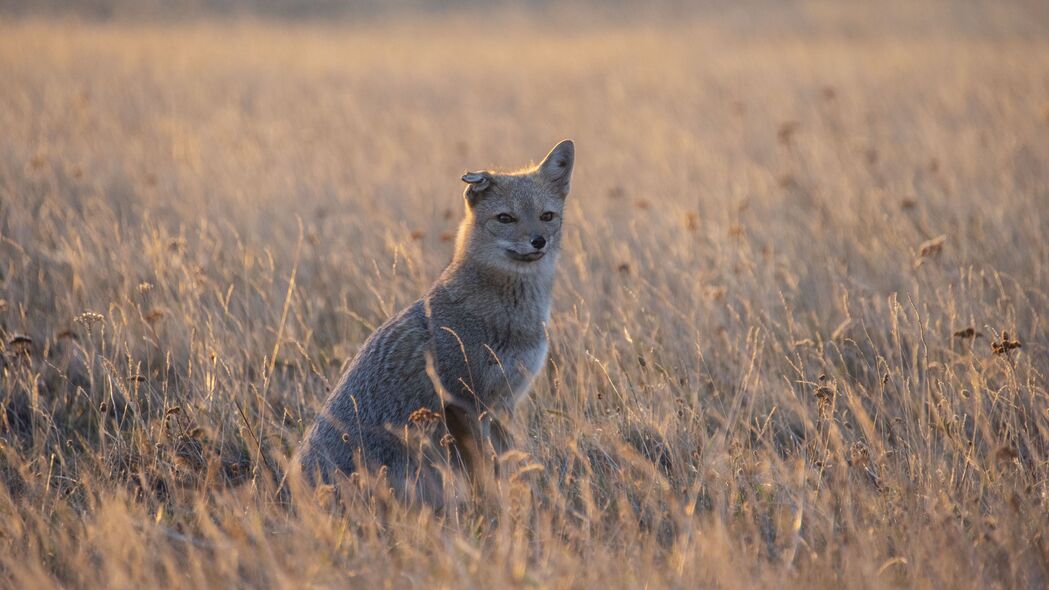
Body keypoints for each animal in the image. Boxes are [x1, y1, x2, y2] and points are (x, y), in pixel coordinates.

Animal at [293, 138, 574, 506]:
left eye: (547, 216)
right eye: (505, 218)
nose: (538, 241)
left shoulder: (505, 403)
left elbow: (510, 462)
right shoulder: (467, 403)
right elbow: (486, 471)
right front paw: (493, 506)